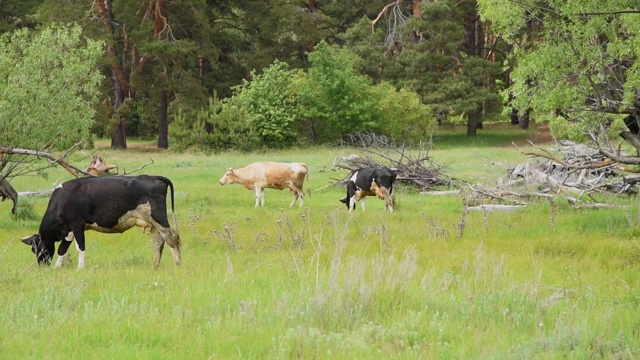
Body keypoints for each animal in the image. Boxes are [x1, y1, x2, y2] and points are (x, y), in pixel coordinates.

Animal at [20, 174, 180, 270]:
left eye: (36, 249)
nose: (42, 265)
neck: (62, 199)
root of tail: (153, 176)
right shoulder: (68, 229)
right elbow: (62, 249)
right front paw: (57, 267)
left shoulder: (77, 224)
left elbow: (80, 247)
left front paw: (80, 268)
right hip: (154, 223)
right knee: (159, 243)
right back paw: (154, 267)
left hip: (160, 219)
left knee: (171, 239)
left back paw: (177, 264)